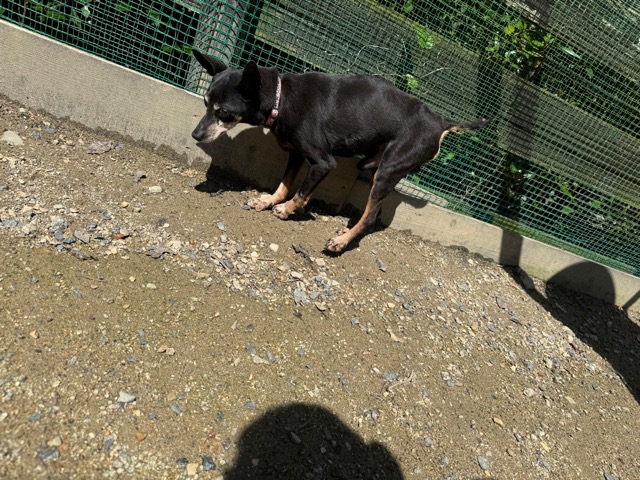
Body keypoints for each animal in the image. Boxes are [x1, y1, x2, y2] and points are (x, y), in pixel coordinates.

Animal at [192, 50, 489, 252]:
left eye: (224, 113)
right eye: (205, 103)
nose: (195, 135)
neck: (280, 97)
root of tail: (441, 121)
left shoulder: (323, 162)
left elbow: (301, 192)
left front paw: (286, 210)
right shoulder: (296, 154)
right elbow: (285, 185)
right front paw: (268, 201)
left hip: (388, 169)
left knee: (370, 216)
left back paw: (341, 241)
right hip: (373, 165)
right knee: (375, 210)